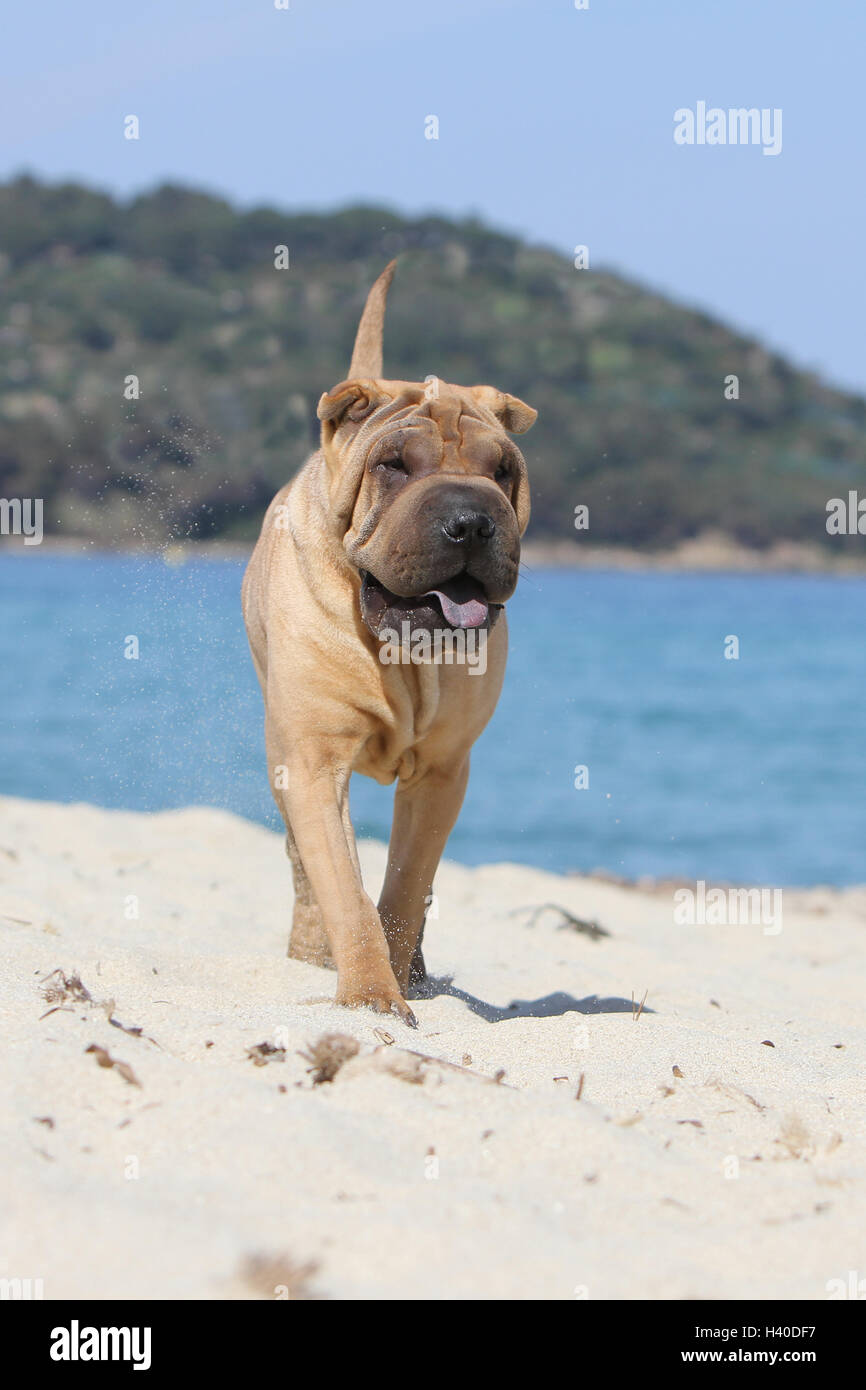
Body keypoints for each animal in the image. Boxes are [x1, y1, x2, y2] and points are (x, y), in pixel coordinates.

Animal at [241, 258, 536, 1023]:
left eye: (502, 471)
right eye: (396, 464)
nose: (471, 521)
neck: (401, 657)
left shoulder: (442, 774)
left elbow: (405, 889)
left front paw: (402, 980)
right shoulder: (312, 763)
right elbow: (345, 894)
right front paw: (372, 998)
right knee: (304, 875)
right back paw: (311, 950)